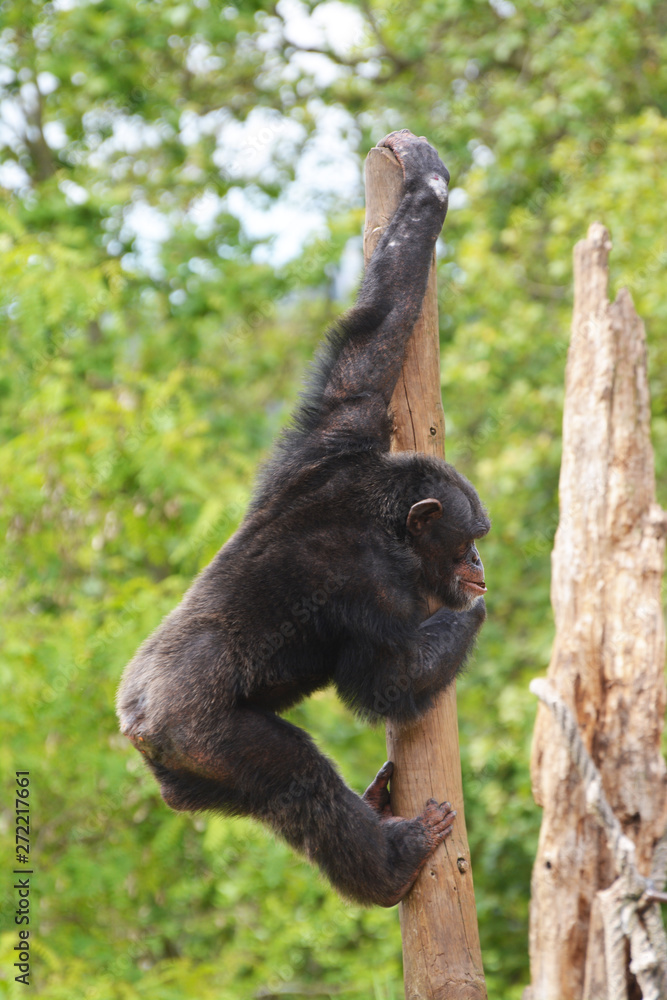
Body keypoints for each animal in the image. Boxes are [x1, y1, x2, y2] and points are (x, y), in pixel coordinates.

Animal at [117, 130, 490, 907]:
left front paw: (424, 183)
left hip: (187, 778)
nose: (476, 564)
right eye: (466, 539)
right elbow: (386, 683)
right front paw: (468, 617)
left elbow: (372, 340)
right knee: (295, 776)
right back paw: (391, 862)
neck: (382, 522)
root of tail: (133, 719)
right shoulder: (371, 590)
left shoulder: (336, 437)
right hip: (196, 735)